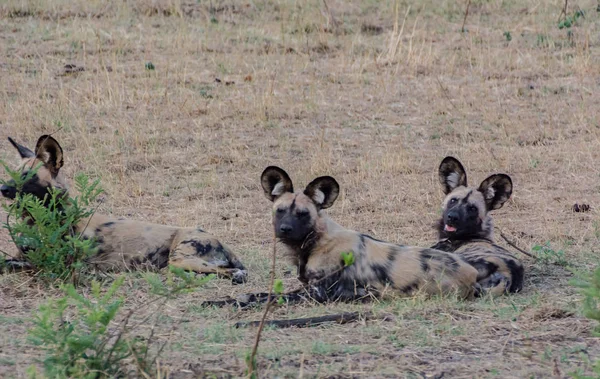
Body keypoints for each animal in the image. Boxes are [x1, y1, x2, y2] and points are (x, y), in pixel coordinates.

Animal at [0, 137, 248, 284]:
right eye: (13, 173)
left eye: (27, 176)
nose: (3, 188)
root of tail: (219, 240)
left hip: (181, 261)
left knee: (232, 273)